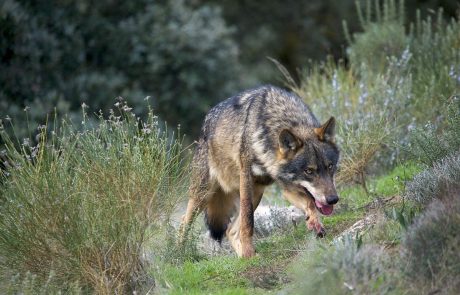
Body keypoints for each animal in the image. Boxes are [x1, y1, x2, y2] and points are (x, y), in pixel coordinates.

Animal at [181, 85, 340, 256]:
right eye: (309, 171)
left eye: (330, 166)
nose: (333, 199)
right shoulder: (246, 179)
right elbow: (248, 221)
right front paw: (249, 251)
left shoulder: (287, 187)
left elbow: (310, 203)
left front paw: (315, 223)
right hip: (203, 195)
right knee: (184, 222)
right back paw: (178, 253)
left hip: (256, 193)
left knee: (230, 230)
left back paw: (243, 257)